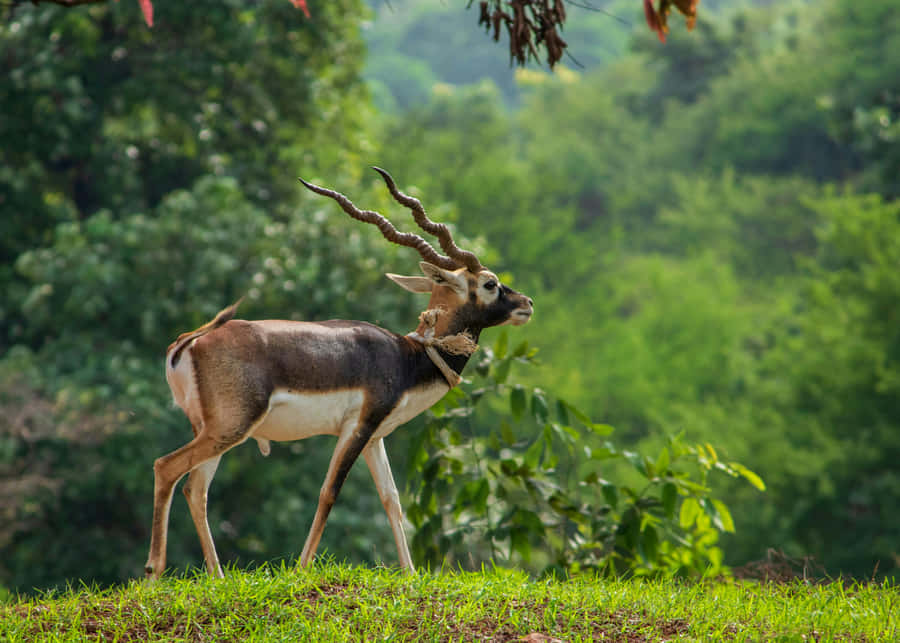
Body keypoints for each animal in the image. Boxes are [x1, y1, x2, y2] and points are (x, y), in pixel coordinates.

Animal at [144, 168, 534, 579]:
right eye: (490, 283)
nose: (526, 304)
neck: (408, 357)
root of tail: (190, 342)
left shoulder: (376, 437)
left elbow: (391, 499)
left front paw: (411, 574)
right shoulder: (356, 427)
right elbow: (329, 492)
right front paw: (301, 570)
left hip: (214, 430)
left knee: (195, 489)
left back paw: (218, 579)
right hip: (230, 427)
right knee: (166, 468)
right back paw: (153, 573)